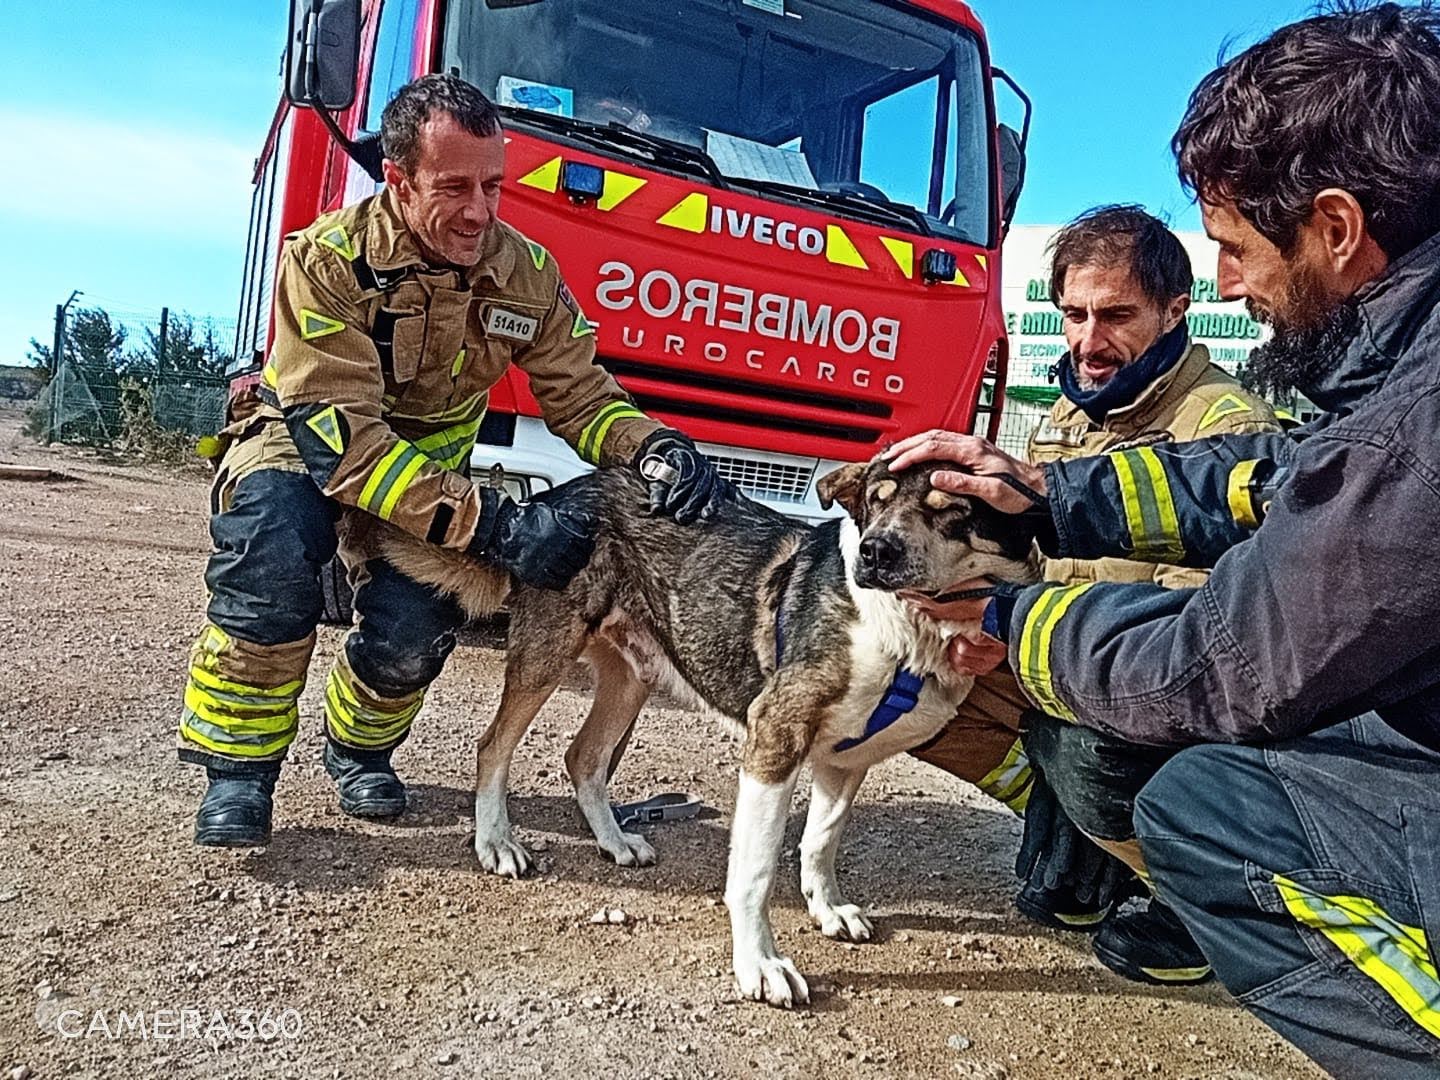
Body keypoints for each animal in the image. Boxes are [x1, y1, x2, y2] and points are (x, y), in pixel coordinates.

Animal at [383, 457, 1036, 1008]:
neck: (907, 631)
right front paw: (761, 966)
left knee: (583, 757)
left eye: (951, 510)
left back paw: (615, 840)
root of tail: (556, 497)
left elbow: (820, 841)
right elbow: (755, 872)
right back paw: (497, 842)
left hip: (634, 676)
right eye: (874, 505)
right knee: (494, 744)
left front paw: (826, 908)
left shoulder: (845, 759)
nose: (873, 551)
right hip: (549, 652)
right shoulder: (774, 740)